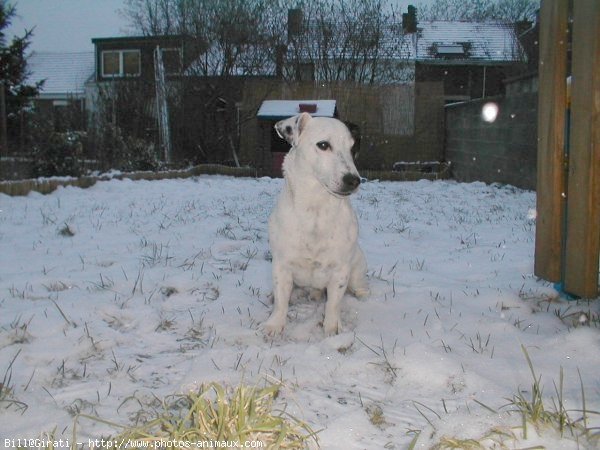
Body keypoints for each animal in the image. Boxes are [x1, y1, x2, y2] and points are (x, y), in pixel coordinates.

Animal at [264, 114, 368, 336]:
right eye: (323, 145)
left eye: (353, 148)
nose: (354, 180)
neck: (316, 210)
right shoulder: (281, 266)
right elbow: (281, 301)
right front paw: (275, 324)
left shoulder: (340, 271)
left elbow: (334, 304)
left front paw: (332, 328)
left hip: (357, 265)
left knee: (357, 283)